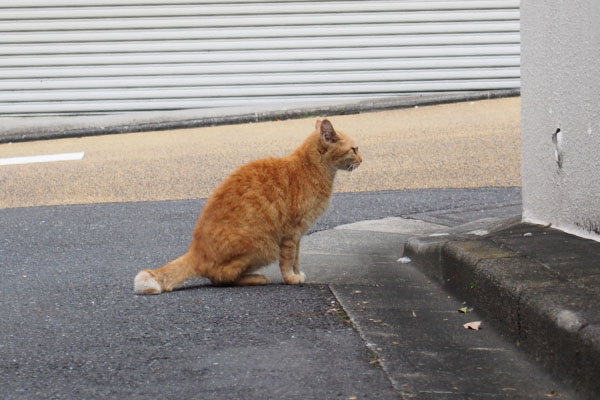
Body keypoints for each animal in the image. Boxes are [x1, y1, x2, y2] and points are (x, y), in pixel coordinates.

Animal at [135, 119, 360, 294]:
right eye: (354, 149)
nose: (361, 159)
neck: (313, 169)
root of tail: (195, 251)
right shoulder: (292, 233)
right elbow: (288, 260)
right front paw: (291, 278)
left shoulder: (298, 235)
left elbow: (296, 258)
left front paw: (297, 273)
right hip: (263, 248)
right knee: (220, 278)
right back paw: (256, 278)